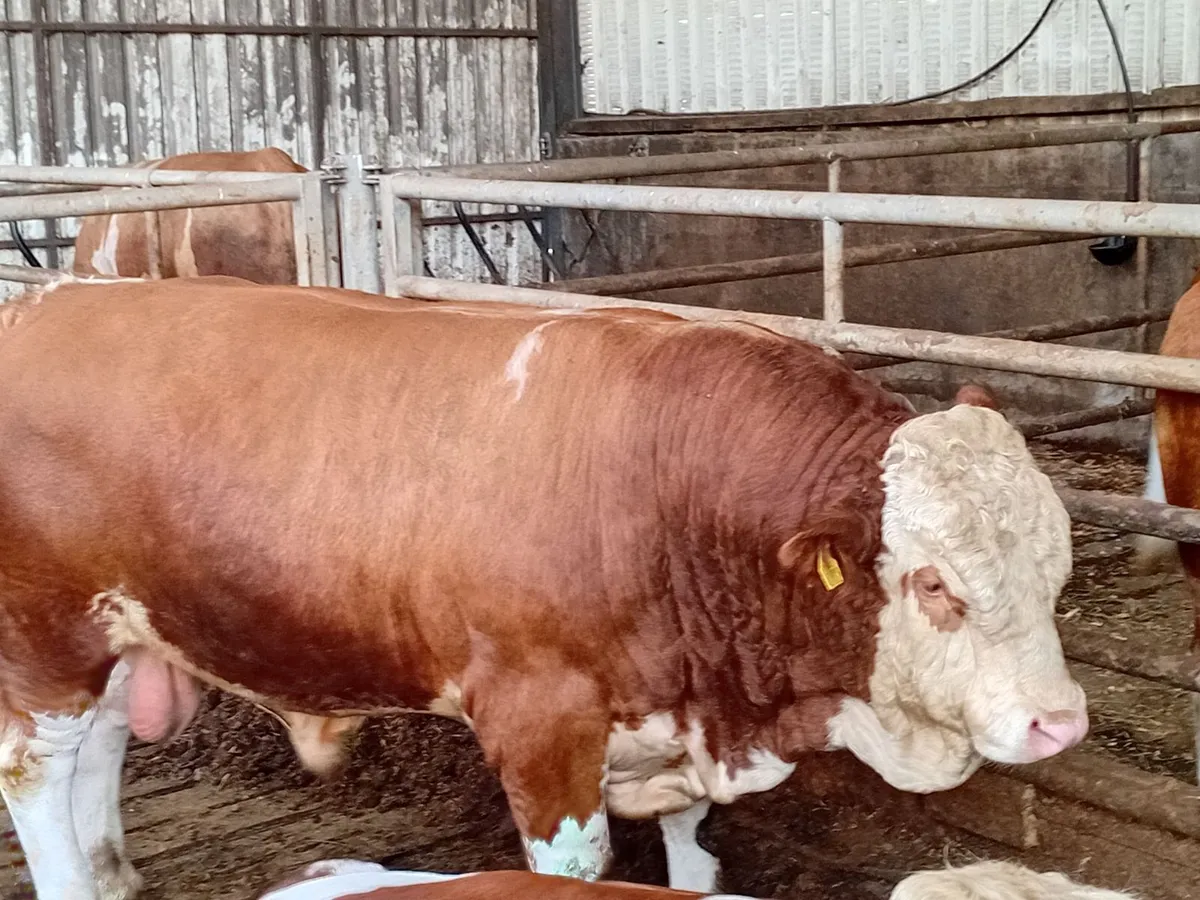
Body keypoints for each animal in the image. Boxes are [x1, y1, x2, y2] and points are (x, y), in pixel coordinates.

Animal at [0, 276, 1088, 900]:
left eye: (1056, 565)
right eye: (934, 583)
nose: (1061, 723)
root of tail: (43, 302)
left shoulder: (678, 705)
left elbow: (691, 844)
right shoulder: (539, 721)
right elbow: (574, 868)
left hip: (116, 638)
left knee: (101, 755)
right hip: (44, 642)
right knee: (40, 779)